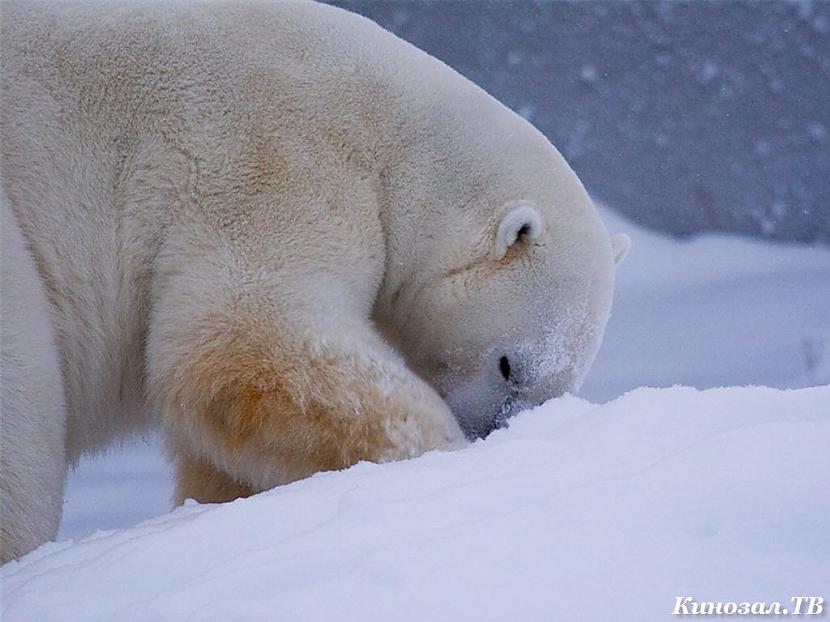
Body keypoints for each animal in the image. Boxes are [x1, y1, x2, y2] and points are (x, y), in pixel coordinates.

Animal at [0, 1, 628, 564]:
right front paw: (434, 455)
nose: (493, 434)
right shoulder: (276, 160)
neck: (393, 125)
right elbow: (245, 338)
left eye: (556, 389)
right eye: (507, 365)